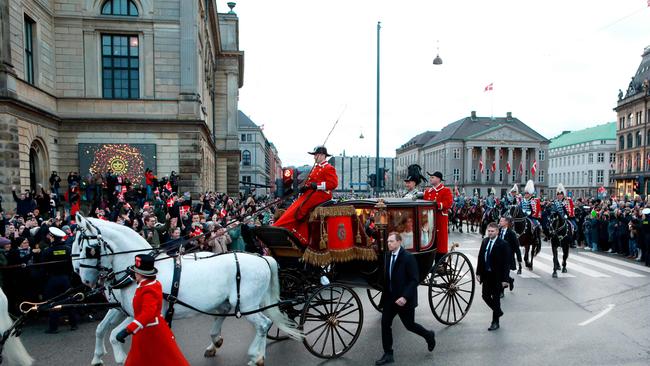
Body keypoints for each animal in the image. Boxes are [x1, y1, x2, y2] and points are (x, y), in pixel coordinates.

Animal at [72, 214, 300, 366]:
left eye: (87, 249)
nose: (83, 278)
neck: (140, 271)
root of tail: (263, 257)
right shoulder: (121, 309)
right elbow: (101, 329)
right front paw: (97, 358)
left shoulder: (141, 313)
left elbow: (114, 335)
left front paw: (121, 357)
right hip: (229, 301)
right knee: (237, 318)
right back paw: (219, 343)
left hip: (245, 304)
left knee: (263, 324)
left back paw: (256, 357)